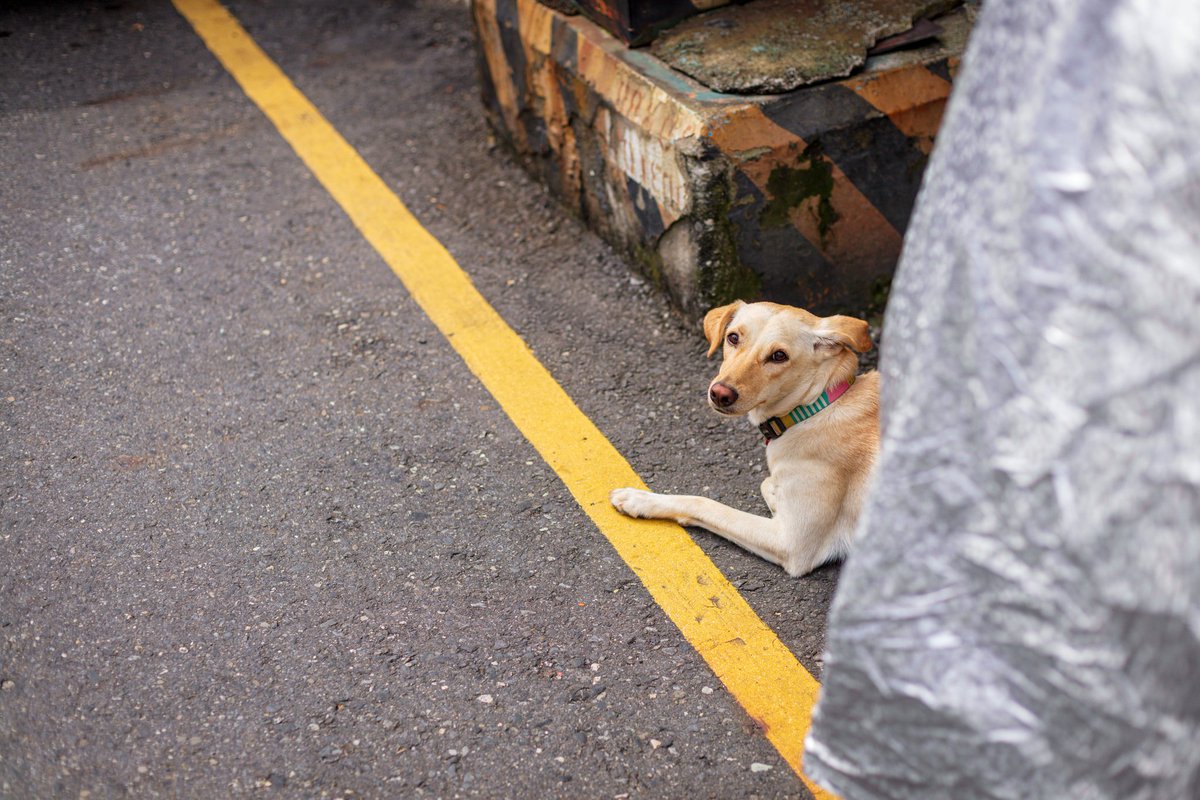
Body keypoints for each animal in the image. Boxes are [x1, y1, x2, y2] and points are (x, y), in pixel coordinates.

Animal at [609, 299, 883, 575]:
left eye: (779, 355)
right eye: (733, 338)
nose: (720, 394)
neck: (816, 406)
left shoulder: (792, 544)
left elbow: (704, 502)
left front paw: (640, 499)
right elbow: (767, 482)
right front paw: (775, 495)